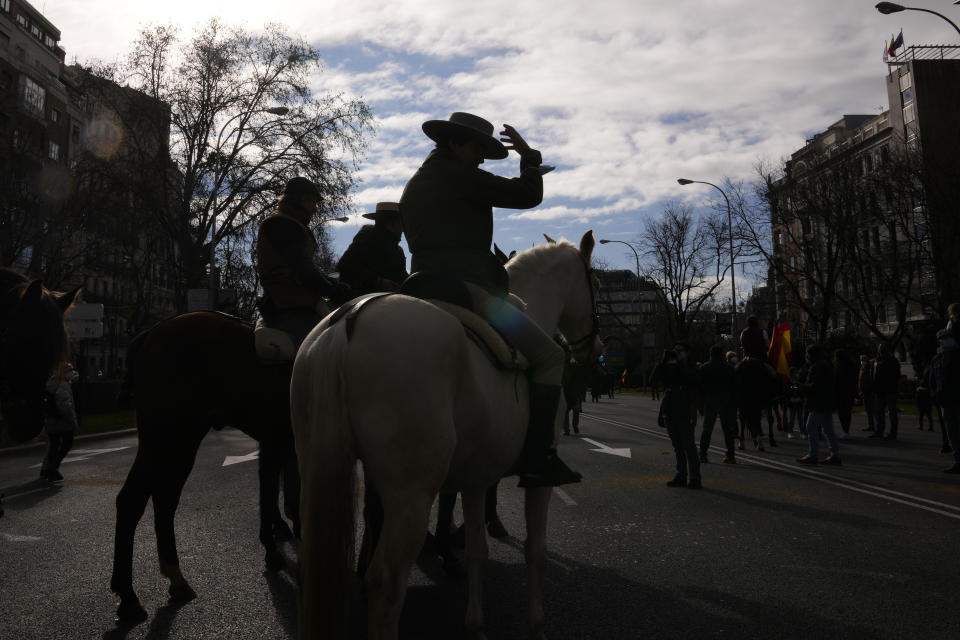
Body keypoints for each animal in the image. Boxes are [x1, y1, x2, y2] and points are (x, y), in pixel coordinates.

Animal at [108, 312, 300, 628]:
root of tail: (152, 332)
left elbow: (278, 492)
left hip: (184, 441)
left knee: (164, 500)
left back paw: (175, 578)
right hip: (163, 437)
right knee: (132, 500)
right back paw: (129, 597)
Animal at [290, 231, 600, 640]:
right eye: (596, 282)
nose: (594, 349)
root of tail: (348, 322)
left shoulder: (476, 478)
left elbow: (477, 551)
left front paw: (476, 625)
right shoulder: (539, 482)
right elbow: (537, 550)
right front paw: (536, 626)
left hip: (318, 468)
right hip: (411, 494)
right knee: (385, 581)